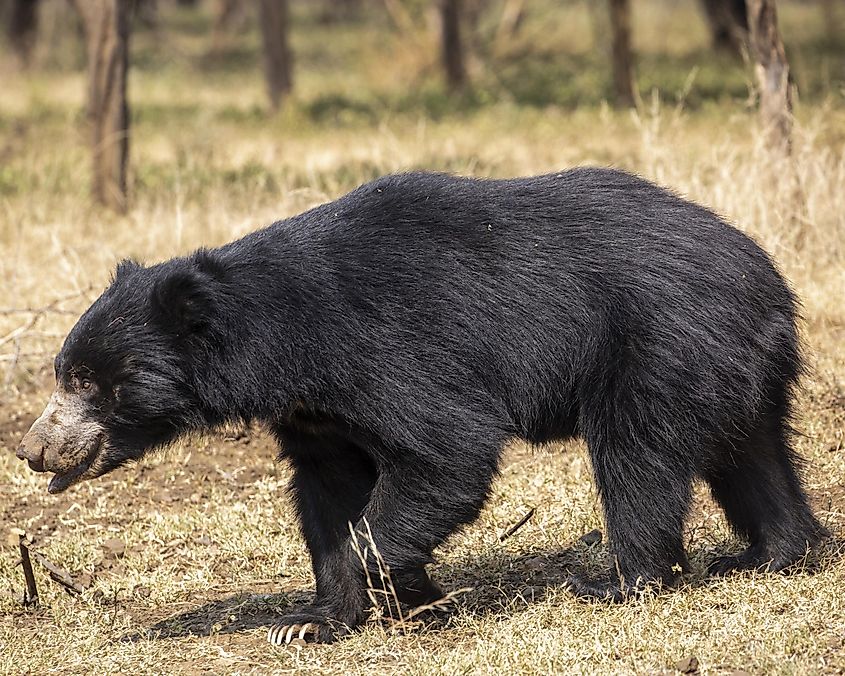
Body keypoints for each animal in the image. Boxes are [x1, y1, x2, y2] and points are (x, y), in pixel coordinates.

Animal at [16, 169, 828, 644]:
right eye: (64, 373)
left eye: (85, 381)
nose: (32, 450)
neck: (282, 344)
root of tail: (767, 277)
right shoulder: (315, 412)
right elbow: (330, 491)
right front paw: (313, 621)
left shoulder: (386, 351)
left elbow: (445, 454)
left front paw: (406, 595)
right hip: (726, 364)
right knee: (751, 455)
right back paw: (771, 553)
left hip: (656, 344)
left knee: (639, 461)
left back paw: (620, 580)